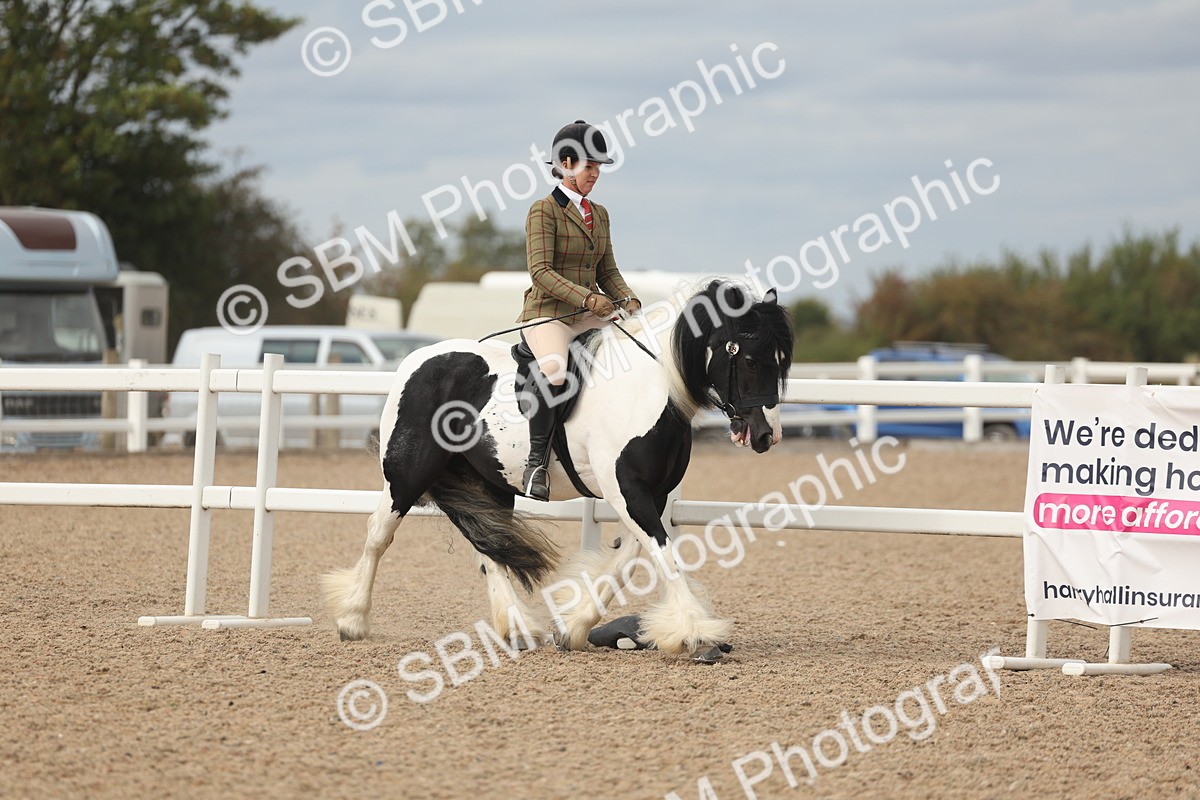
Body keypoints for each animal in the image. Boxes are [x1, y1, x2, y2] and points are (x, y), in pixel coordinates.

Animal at [321, 280, 794, 657]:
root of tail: (417, 360)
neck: (647, 390)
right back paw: (352, 620)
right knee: (379, 534)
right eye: (750, 358)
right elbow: (663, 556)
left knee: (489, 549)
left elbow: (628, 561)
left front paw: (574, 629)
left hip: (491, 482)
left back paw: (516, 629)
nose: (767, 435)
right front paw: (697, 634)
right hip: (406, 476)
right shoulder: (628, 490)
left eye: (780, 359)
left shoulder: (651, 495)